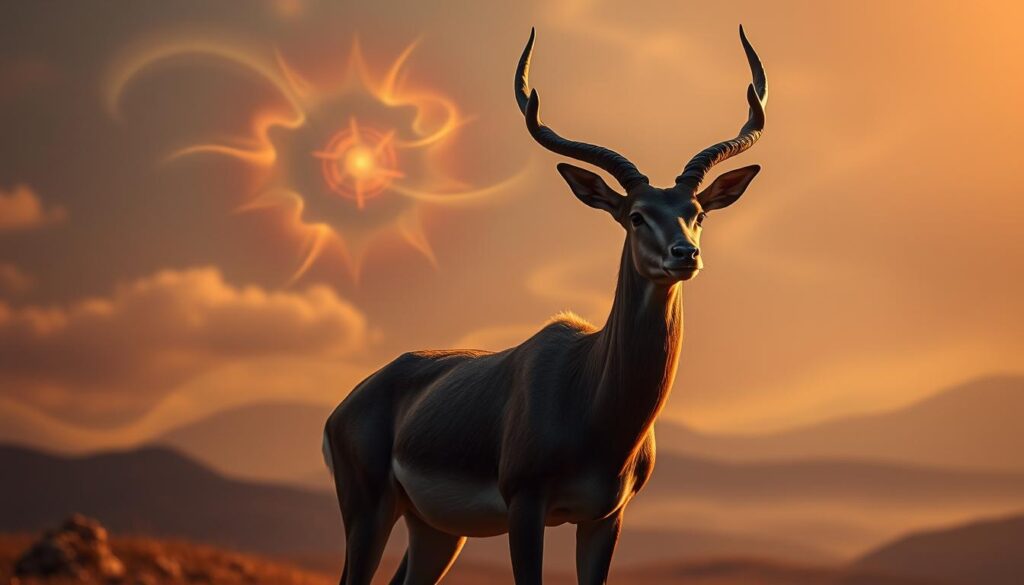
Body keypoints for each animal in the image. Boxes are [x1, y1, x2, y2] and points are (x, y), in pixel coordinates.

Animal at [323, 26, 768, 585]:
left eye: (697, 214)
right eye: (636, 215)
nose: (684, 254)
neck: (594, 400)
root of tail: (346, 406)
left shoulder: (605, 517)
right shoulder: (526, 505)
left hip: (436, 530)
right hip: (368, 509)